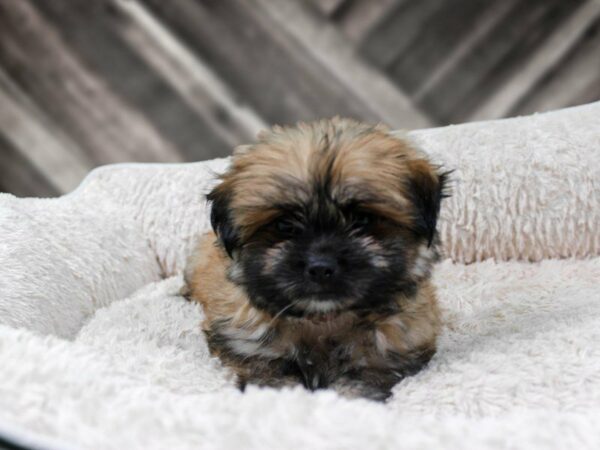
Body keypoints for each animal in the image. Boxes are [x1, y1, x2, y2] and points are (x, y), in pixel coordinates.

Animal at [185, 118, 448, 400]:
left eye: (363, 219)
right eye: (284, 225)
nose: (321, 268)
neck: (324, 319)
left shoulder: (392, 352)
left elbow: (363, 380)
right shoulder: (249, 346)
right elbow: (268, 372)